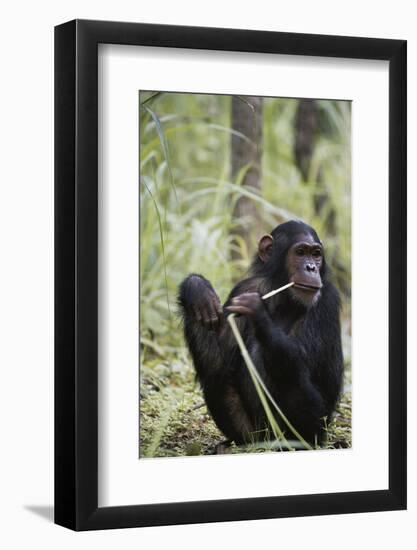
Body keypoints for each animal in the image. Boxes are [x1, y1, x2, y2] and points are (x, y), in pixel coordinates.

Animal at [177, 220, 342, 448]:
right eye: (300, 252)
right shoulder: (244, 288)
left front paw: (257, 310)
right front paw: (198, 290)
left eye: (316, 254)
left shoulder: (327, 298)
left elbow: (305, 357)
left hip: (314, 428)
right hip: (249, 430)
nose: (311, 267)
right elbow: (220, 353)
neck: (285, 296)